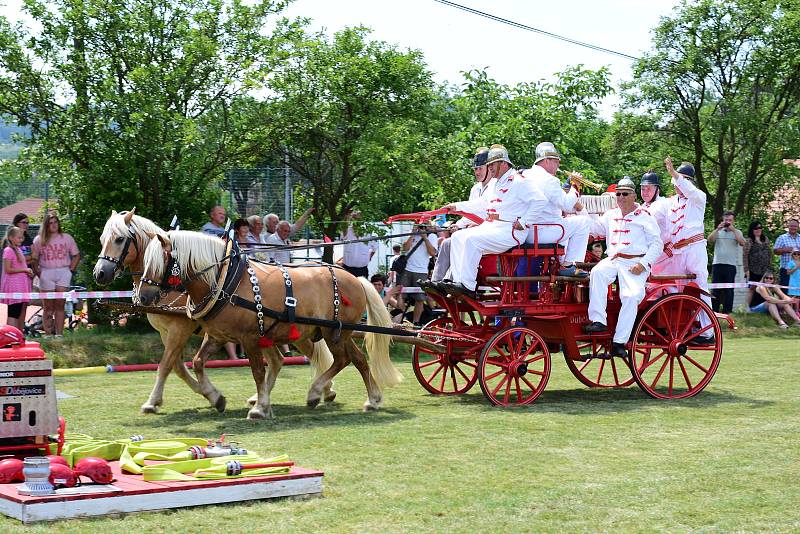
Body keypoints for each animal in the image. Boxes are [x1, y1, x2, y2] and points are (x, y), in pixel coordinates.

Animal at [94, 209, 338, 414]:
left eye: (119, 239)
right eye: (102, 240)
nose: (99, 273)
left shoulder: (179, 330)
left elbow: (166, 365)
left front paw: (152, 402)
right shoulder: (167, 333)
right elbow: (178, 366)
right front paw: (211, 396)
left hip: (298, 332)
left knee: (315, 355)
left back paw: (323, 390)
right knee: (279, 360)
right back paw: (263, 398)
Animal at [138, 232, 404, 420]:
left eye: (158, 262)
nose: (142, 296)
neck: (224, 279)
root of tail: (356, 278)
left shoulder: (249, 338)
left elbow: (257, 371)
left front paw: (260, 408)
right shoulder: (218, 336)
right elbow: (197, 363)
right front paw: (217, 398)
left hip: (334, 331)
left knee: (343, 360)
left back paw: (317, 392)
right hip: (336, 333)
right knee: (356, 359)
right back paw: (370, 398)